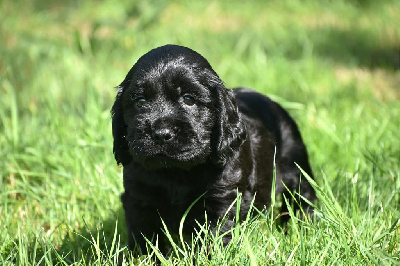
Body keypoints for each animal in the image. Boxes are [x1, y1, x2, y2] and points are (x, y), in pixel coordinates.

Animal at [111, 44, 316, 254]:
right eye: (140, 102)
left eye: (189, 99)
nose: (161, 133)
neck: (176, 172)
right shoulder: (139, 198)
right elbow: (145, 239)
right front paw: (143, 257)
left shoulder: (221, 199)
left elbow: (214, 237)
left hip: (296, 168)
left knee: (303, 198)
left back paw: (302, 229)